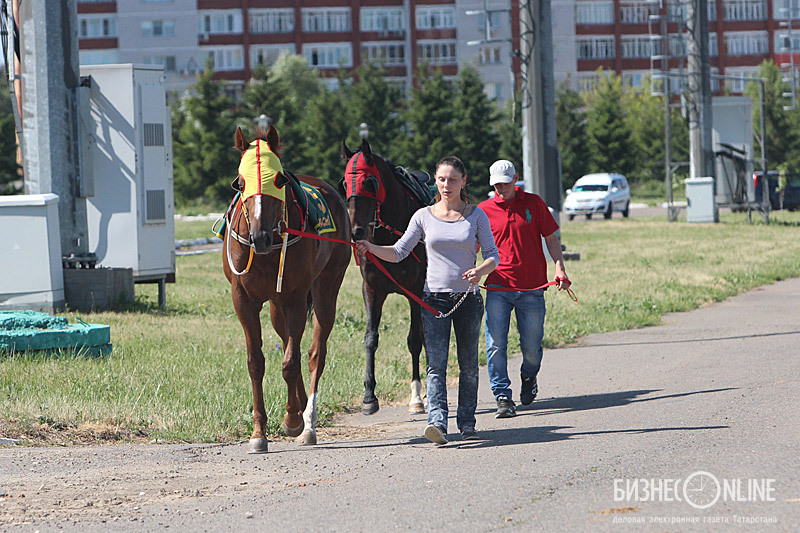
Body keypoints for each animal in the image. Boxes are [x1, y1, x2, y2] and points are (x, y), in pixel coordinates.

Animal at [225, 125, 350, 454]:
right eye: (240, 183)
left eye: (279, 180)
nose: (259, 236)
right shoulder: (244, 299)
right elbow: (256, 362)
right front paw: (259, 433)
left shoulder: (295, 296)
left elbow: (291, 362)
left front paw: (294, 419)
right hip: (275, 305)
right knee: (286, 338)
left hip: (326, 287)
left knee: (315, 351)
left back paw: (308, 421)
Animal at [340, 140, 428, 416]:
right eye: (344, 183)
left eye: (370, 182)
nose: (356, 231)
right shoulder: (372, 290)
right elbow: (370, 339)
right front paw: (369, 396)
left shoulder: (416, 291)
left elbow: (414, 340)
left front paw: (416, 397)